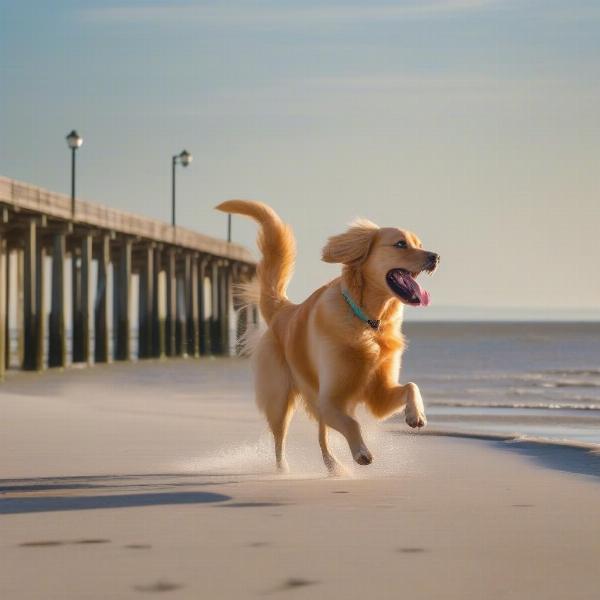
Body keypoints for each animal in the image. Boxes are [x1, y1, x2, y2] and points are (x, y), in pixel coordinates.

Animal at [217, 202, 440, 474]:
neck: (368, 322)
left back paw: (334, 466)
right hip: (280, 399)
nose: (435, 256)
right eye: (400, 244)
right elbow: (352, 423)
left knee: (321, 437)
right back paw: (284, 470)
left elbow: (411, 385)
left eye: (420, 243)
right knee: (280, 439)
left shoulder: (378, 396)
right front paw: (362, 452)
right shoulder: (329, 399)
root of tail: (283, 309)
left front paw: (416, 415)